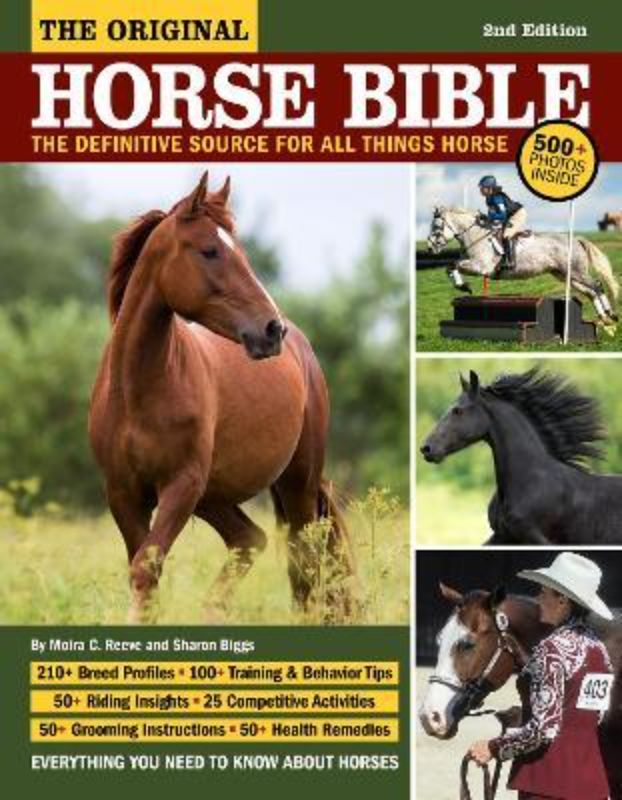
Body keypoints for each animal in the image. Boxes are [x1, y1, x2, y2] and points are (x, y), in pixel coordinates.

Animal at [89, 172, 355, 623]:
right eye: (210, 250)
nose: (271, 330)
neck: (139, 392)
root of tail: (302, 351)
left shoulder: (181, 486)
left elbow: (146, 568)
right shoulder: (124, 494)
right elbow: (144, 572)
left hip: (293, 484)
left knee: (303, 562)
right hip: (214, 496)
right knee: (250, 539)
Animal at [427, 206, 619, 325]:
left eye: (436, 226)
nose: (430, 247)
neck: (475, 235)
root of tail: (576, 239)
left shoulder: (481, 267)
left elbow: (453, 265)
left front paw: (463, 286)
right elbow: (450, 267)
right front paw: (463, 286)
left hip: (577, 273)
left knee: (597, 285)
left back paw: (611, 314)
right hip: (566, 276)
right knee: (590, 292)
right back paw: (603, 317)